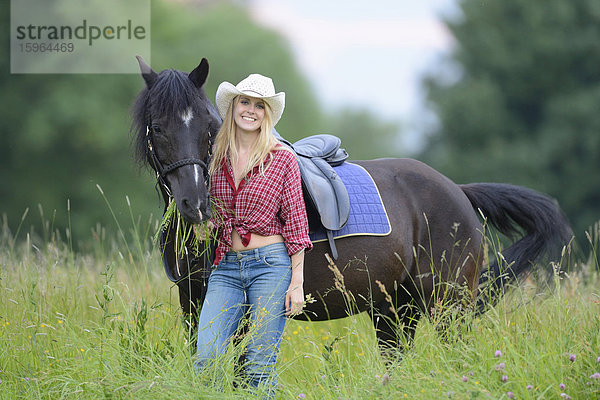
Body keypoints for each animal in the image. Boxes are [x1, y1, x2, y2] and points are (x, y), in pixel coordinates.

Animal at [130, 57, 572, 352]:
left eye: (208, 127)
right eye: (158, 128)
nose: (196, 204)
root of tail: (458, 191)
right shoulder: (194, 302)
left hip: (450, 306)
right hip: (394, 310)